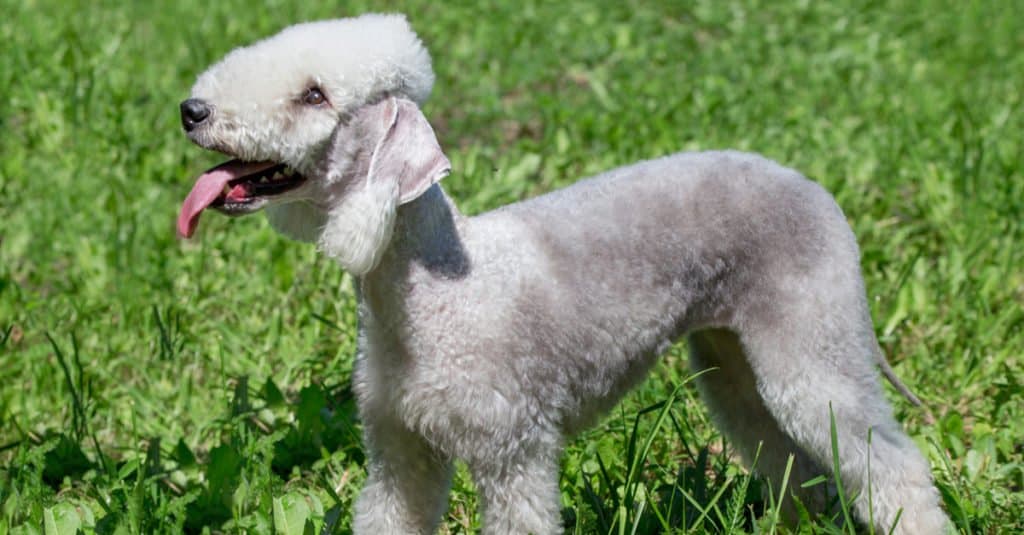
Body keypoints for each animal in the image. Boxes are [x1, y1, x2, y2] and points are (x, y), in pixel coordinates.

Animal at [176, 14, 950, 528]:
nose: (192, 110)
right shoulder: (399, 453)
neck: (436, 292)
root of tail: (816, 189)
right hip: (735, 366)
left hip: (813, 353)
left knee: (893, 466)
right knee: (798, 467)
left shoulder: (514, 449)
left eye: (314, 95)